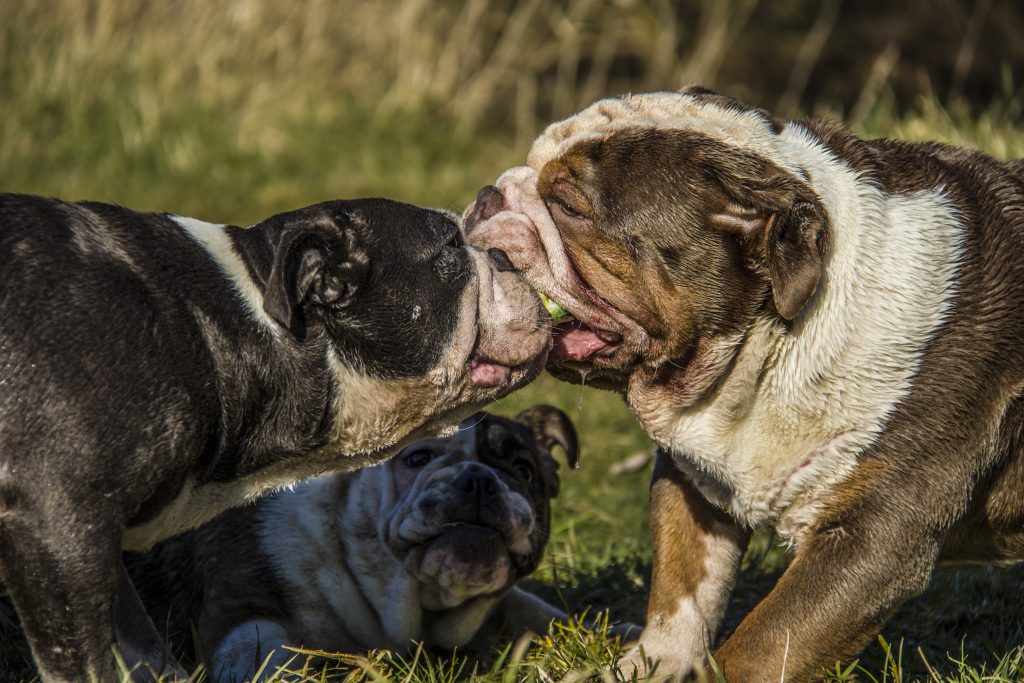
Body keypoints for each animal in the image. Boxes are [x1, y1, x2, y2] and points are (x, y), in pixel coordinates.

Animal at [125, 409, 585, 679]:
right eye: (417, 458)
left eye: (524, 469)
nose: (478, 479)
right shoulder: (239, 608)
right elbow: (265, 653)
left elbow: (537, 611)